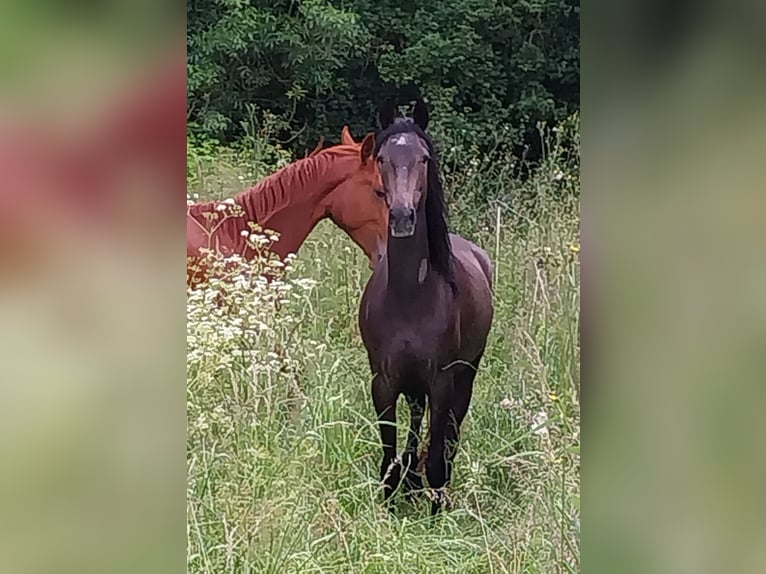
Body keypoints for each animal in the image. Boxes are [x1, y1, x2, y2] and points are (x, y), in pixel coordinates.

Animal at [358, 100, 492, 516]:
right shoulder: (383, 382)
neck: (409, 297)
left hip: (465, 376)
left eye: (424, 158)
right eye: (382, 157)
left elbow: (436, 457)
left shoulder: (442, 382)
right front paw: (390, 506)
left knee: (448, 439)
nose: (403, 217)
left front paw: (435, 515)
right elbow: (388, 457)